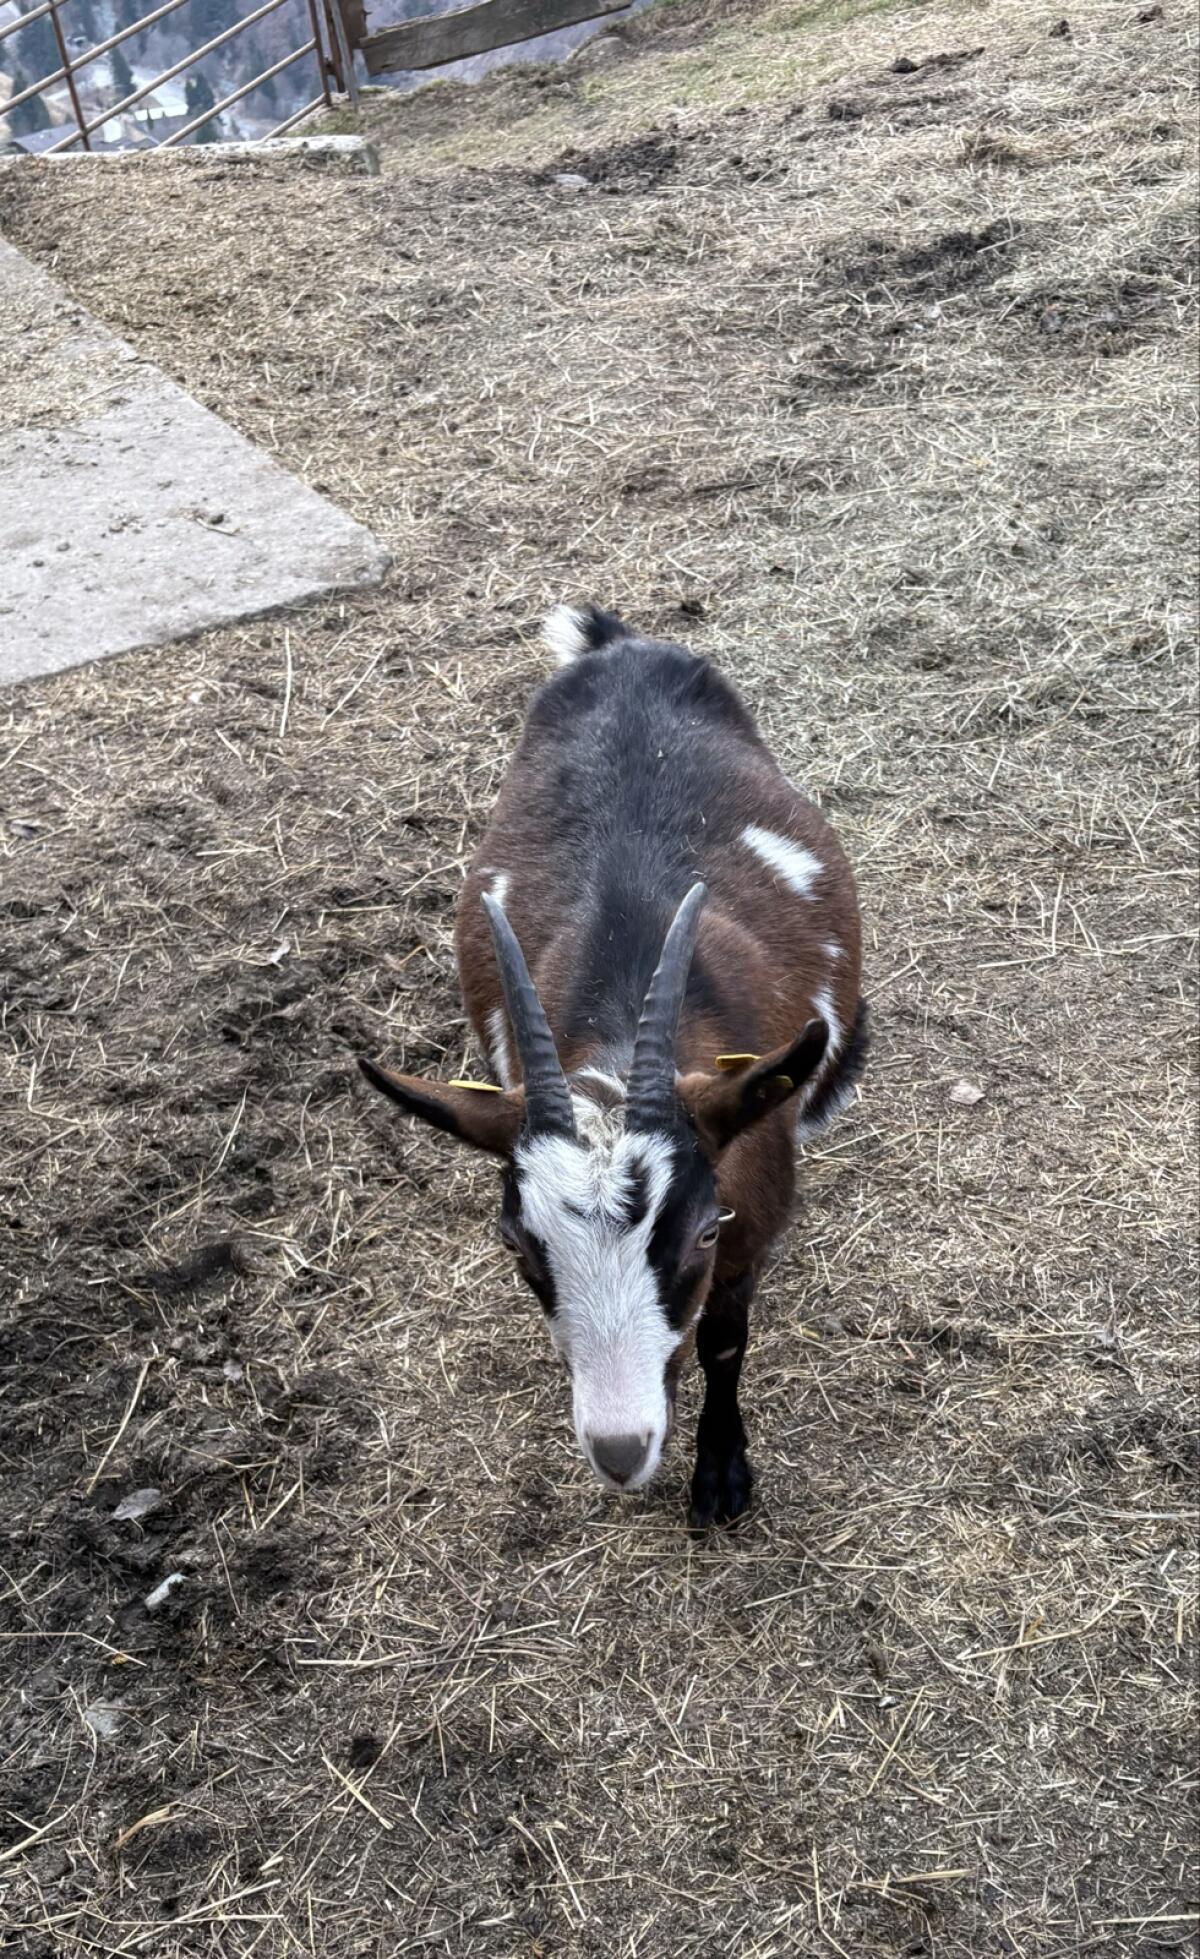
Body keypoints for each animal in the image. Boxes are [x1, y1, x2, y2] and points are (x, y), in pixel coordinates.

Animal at [360, 605, 866, 1526]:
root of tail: (620, 646)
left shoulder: (751, 1222)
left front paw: (721, 1473)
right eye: (518, 1243)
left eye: (703, 1230)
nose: (620, 1447)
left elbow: (724, 1340)